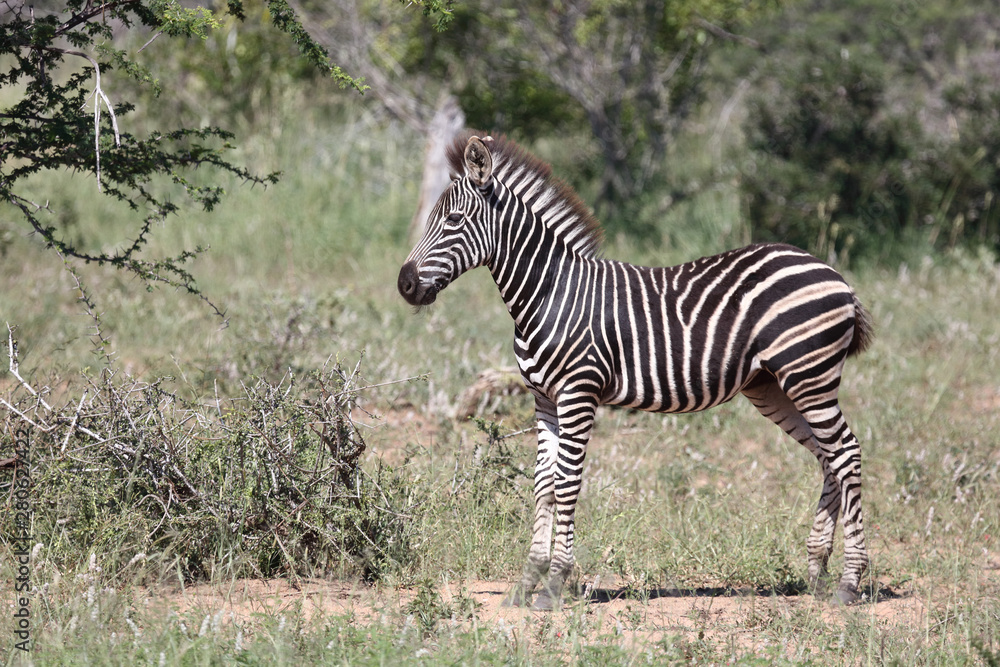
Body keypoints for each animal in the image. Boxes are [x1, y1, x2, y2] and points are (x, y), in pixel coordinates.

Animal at [397, 132, 875, 609]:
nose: (404, 284)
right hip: (772, 385)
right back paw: (816, 571)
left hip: (809, 376)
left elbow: (567, 483)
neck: (550, 293)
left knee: (847, 453)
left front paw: (554, 584)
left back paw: (849, 582)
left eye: (453, 220)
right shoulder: (544, 400)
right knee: (827, 456)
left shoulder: (578, 393)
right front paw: (526, 582)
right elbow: (543, 484)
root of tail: (833, 272)